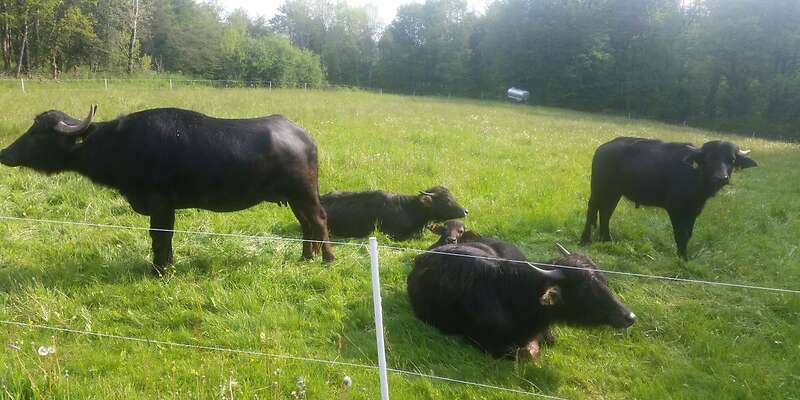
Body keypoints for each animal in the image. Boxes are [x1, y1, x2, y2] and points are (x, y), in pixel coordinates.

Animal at [0, 105, 335, 273]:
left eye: (40, 133)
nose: (5, 153)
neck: (120, 143)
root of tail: (304, 136)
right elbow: (164, 238)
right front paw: (167, 264)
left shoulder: (161, 203)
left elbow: (160, 236)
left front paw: (160, 268)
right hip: (294, 198)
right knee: (306, 225)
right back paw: (306, 257)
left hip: (304, 193)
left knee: (319, 220)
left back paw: (328, 259)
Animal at [580, 137, 757, 259]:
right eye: (707, 159)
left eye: (731, 160)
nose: (721, 178)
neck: (695, 178)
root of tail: (603, 147)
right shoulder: (675, 208)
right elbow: (680, 233)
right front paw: (680, 256)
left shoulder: (694, 210)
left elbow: (688, 233)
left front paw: (684, 256)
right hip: (599, 188)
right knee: (592, 210)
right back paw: (585, 239)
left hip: (614, 192)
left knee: (606, 212)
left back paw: (606, 240)